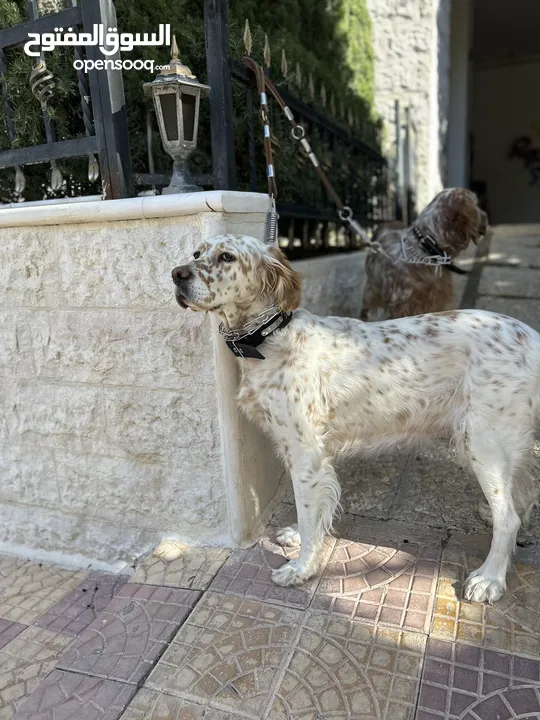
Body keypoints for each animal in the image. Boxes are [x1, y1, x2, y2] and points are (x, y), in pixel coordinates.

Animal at [172, 235, 540, 600]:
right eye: (196, 252)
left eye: (227, 257)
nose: (177, 274)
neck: (270, 339)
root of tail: (532, 337)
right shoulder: (307, 454)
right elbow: (313, 510)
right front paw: (297, 536)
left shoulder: (305, 454)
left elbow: (308, 512)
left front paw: (302, 568)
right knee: (523, 492)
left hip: (483, 444)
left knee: (509, 518)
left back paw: (489, 578)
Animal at [360, 187, 488, 320]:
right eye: (476, 204)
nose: (486, 215)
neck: (426, 248)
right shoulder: (403, 305)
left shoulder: (437, 298)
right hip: (371, 290)